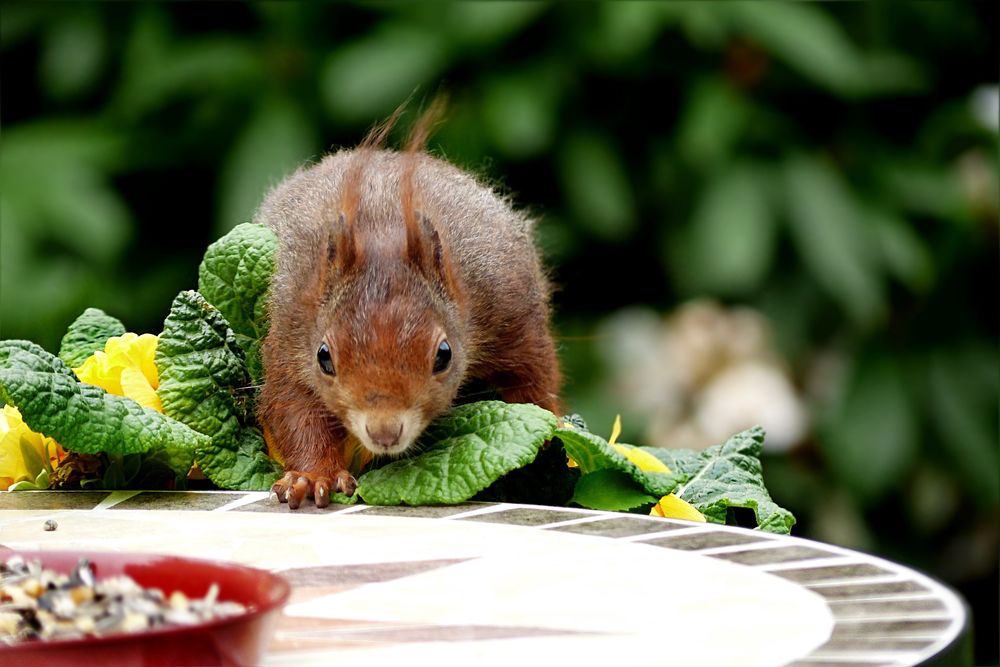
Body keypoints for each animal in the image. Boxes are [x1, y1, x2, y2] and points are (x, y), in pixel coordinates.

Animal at [254, 107, 564, 508]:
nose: (384, 432)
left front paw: (550, 436)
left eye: (444, 355)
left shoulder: (507, 304)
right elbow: (292, 405)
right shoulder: (291, 325)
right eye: (324, 357)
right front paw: (311, 476)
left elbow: (533, 375)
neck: (383, 230)